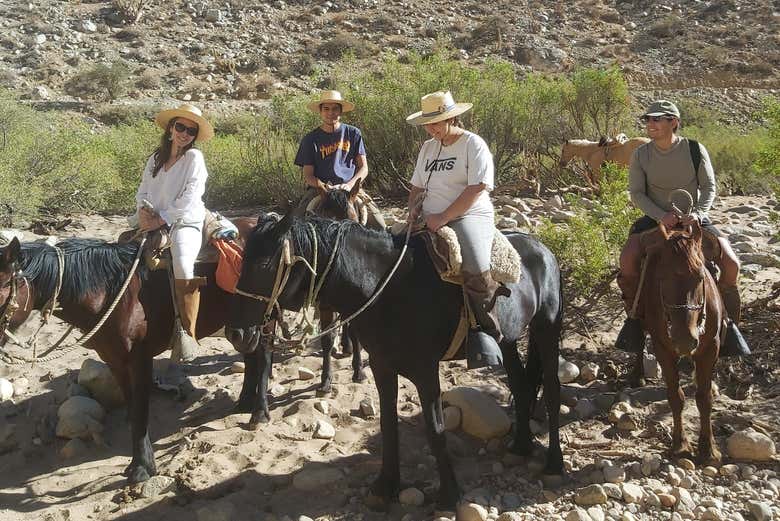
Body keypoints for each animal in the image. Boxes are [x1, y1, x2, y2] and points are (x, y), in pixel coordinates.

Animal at [0, 216, 256, 484]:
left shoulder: (140, 359)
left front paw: (142, 467)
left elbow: (141, 410)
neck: (110, 295)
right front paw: (138, 458)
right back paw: (247, 404)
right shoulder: (114, 360)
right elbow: (132, 406)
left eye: (4, 287)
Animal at [222, 208, 564, 508]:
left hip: (547, 328)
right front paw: (386, 487)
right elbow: (388, 425)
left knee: (551, 389)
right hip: (508, 341)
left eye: (264, 266)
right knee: (521, 385)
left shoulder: (426, 371)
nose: (236, 334)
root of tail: (543, 249)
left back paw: (554, 463)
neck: (386, 288)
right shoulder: (382, 366)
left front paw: (449, 495)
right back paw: (521, 446)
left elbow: (435, 430)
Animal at [636, 220, 724, 464]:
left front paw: (708, 449)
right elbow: (676, 397)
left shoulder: (710, 348)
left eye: (700, 276)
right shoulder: (663, 349)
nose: (684, 340)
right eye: (661, 278)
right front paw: (680, 445)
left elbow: (704, 398)